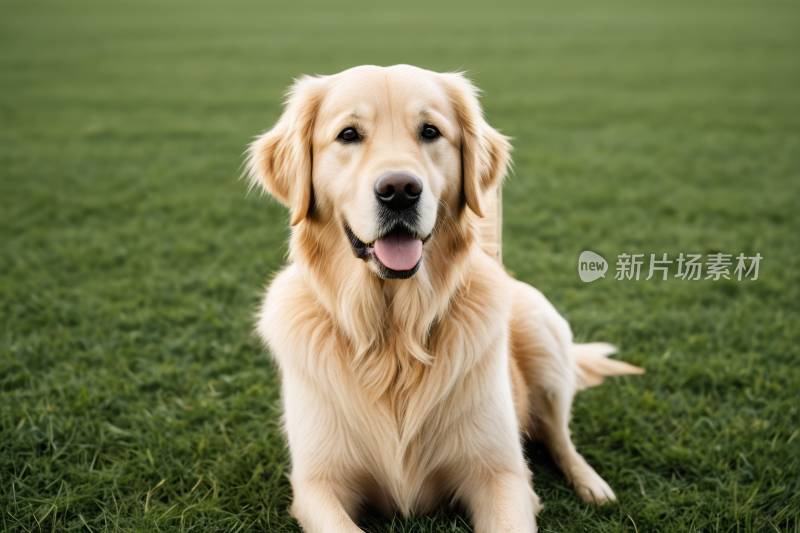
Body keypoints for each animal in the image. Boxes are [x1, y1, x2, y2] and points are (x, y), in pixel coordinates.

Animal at [244, 64, 644, 528]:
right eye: (348, 134)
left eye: (430, 131)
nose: (400, 190)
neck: (395, 337)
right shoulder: (316, 483)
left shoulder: (501, 473)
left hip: (544, 331)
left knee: (560, 437)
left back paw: (593, 486)